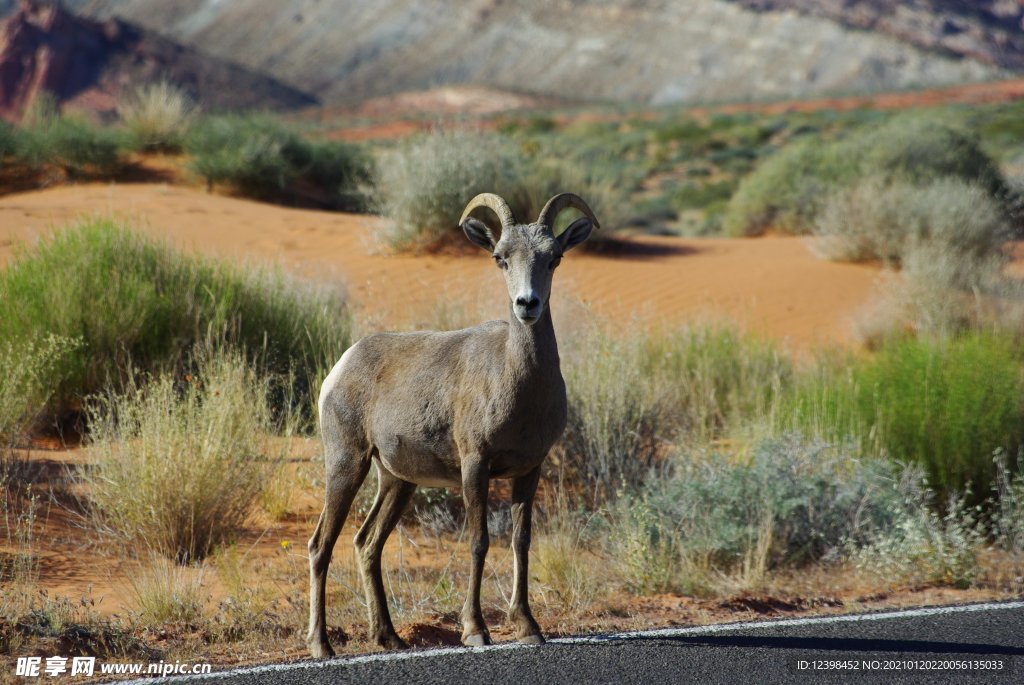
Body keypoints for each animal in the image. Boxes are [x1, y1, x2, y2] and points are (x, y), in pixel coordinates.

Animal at [307, 191, 598, 651]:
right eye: (500, 258)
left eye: (554, 257)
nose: (527, 304)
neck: (517, 383)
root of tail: (342, 366)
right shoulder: (475, 465)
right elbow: (479, 542)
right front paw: (475, 630)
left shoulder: (529, 470)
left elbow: (521, 542)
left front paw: (528, 627)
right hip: (346, 464)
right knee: (322, 544)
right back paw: (322, 645)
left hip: (397, 481)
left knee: (367, 544)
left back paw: (389, 638)